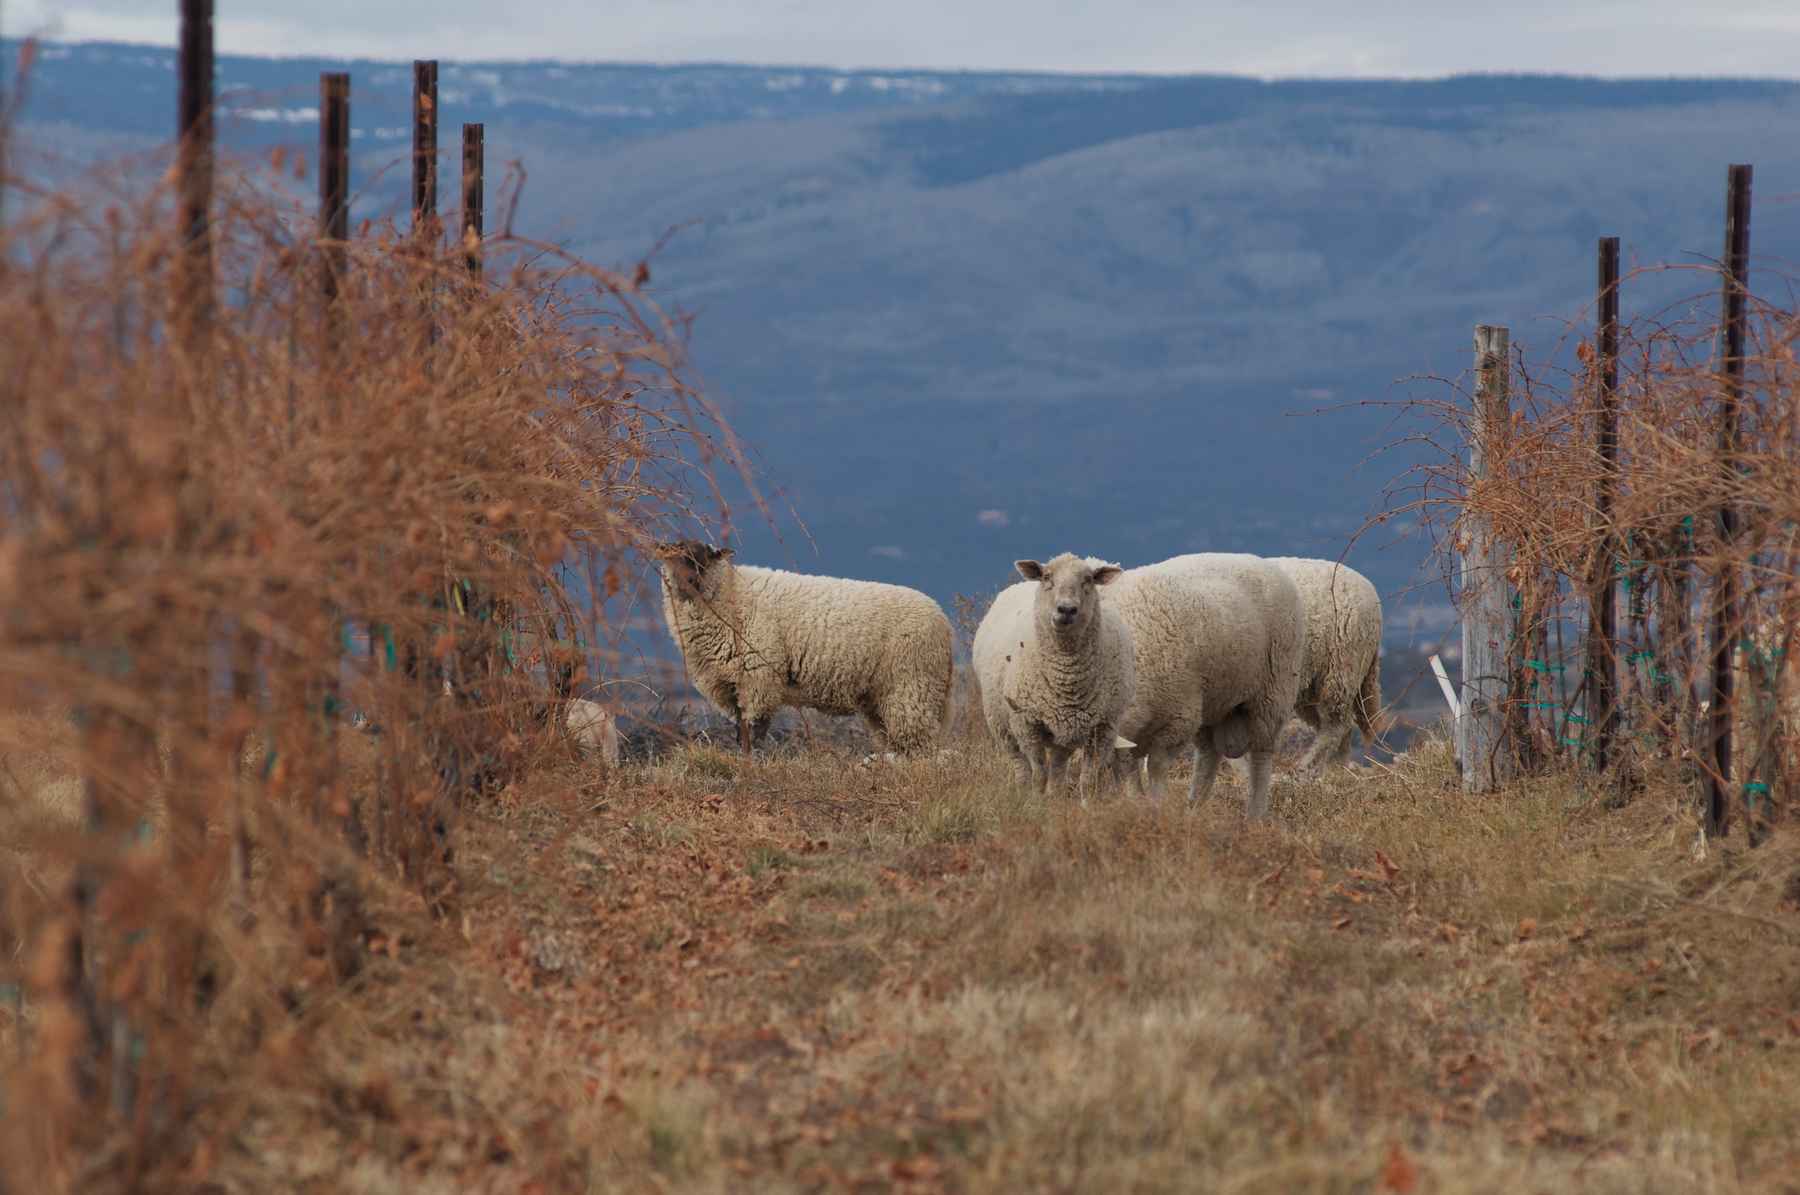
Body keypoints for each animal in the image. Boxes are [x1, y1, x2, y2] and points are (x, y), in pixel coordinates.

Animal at [979, 554, 1130, 799]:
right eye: (1047, 576)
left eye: (1088, 579)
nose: (1066, 609)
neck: (1067, 676)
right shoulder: (1026, 724)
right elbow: (1039, 772)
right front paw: (1035, 801)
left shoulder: (1105, 728)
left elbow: (1088, 779)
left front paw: (1087, 804)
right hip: (1001, 724)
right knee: (1020, 765)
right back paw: (1023, 792)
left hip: (1065, 730)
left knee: (1058, 766)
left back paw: (1055, 794)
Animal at [1101, 554, 1303, 817]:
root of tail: (1261, 560)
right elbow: (1131, 769)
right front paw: (1136, 802)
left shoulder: (1179, 718)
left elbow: (1155, 766)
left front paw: (1154, 805)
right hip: (1213, 702)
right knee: (1209, 753)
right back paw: (1194, 807)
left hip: (1274, 690)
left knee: (1261, 754)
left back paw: (1254, 815)